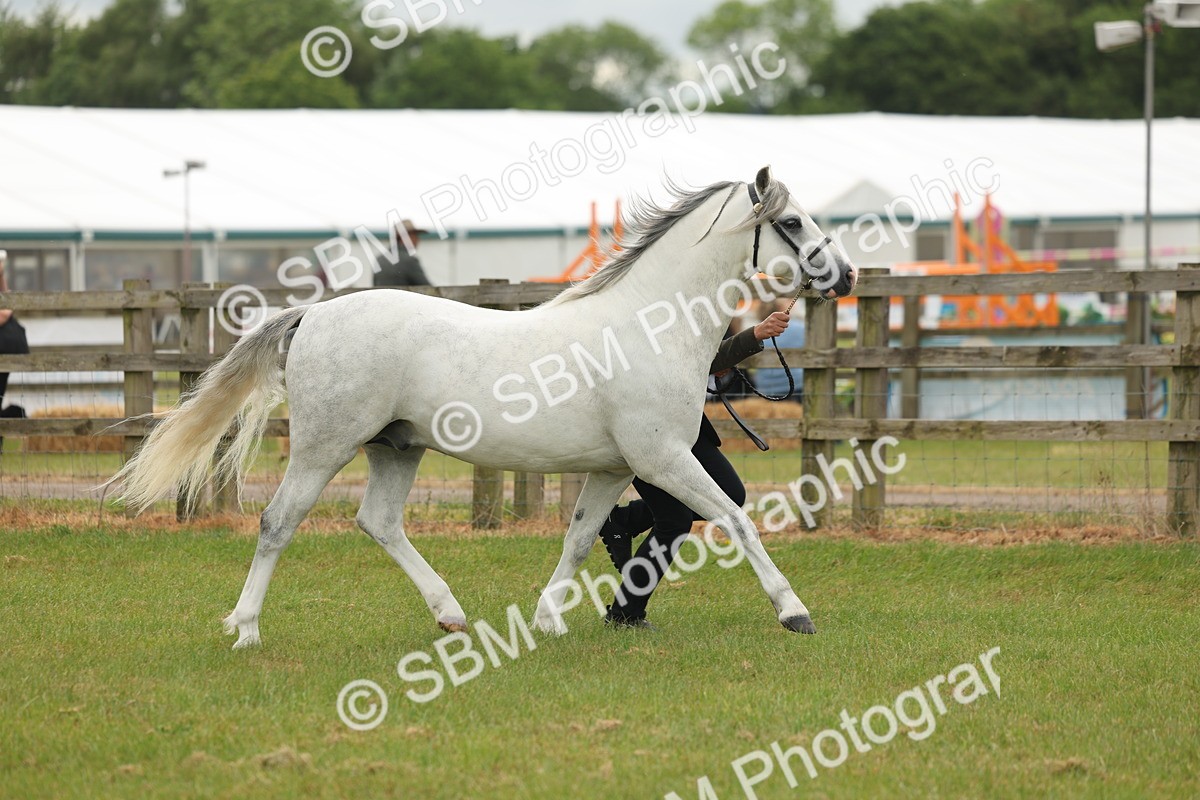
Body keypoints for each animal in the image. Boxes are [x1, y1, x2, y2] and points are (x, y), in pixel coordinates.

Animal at [112, 166, 857, 649]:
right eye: (792, 221)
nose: (846, 274)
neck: (649, 324)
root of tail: (312, 315)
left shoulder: (615, 468)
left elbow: (582, 536)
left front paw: (550, 620)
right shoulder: (665, 458)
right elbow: (738, 520)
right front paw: (795, 613)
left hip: (397, 446)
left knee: (378, 522)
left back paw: (450, 616)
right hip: (325, 446)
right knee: (277, 523)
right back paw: (246, 630)